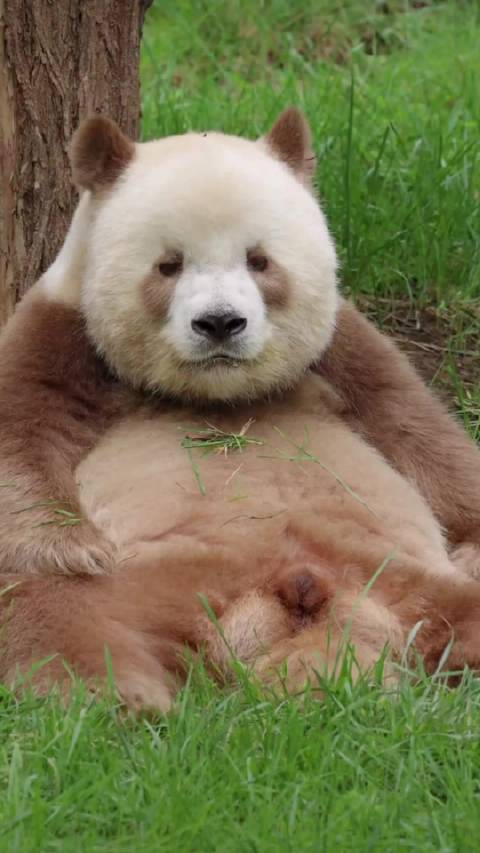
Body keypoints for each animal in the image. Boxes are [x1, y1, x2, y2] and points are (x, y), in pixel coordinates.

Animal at [0, 108, 480, 711]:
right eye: (168, 265)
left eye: (259, 261)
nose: (221, 322)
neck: (222, 394)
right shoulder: (63, 333)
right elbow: (20, 439)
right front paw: (75, 548)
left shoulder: (342, 351)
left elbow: (425, 438)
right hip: (148, 587)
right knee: (60, 619)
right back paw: (114, 701)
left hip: (401, 575)